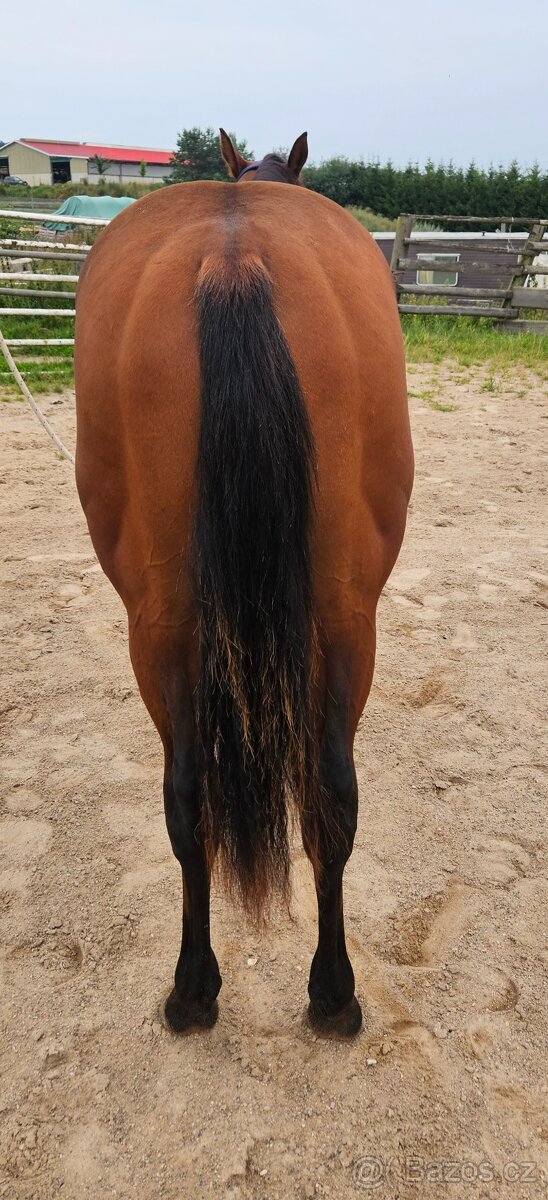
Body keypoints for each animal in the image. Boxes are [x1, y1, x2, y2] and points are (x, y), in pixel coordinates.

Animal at [74, 130, 414, 1038]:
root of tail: (235, 256)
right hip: (339, 618)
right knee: (317, 795)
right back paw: (311, 994)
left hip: (171, 624)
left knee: (210, 796)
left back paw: (224, 992)